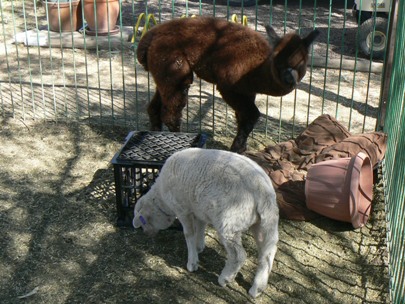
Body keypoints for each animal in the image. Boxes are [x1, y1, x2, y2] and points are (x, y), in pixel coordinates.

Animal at [133, 148, 278, 298]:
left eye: (143, 222)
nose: (148, 234)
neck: (162, 199)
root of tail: (263, 190)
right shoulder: (199, 209)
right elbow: (201, 227)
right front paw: (199, 246)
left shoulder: (182, 209)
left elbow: (189, 234)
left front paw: (192, 262)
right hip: (263, 222)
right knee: (268, 253)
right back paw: (257, 288)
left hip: (230, 223)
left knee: (239, 255)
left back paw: (225, 279)